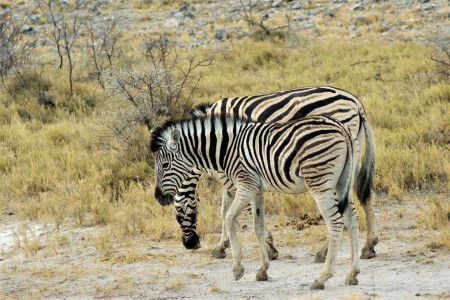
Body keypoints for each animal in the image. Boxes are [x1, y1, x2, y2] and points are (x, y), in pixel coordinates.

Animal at [152, 114, 362, 288]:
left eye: (165, 165)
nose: (158, 197)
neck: (226, 150)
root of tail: (341, 127)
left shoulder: (246, 185)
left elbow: (229, 218)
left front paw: (237, 268)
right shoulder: (257, 191)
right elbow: (258, 227)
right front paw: (263, 270)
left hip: (320, 183)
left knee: (335, 223)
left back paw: (322, 277)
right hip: (342, 182)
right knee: (352, 220)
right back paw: (352, 274)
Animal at [155, 85, 376, 262]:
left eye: (179, 213)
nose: (191, 245)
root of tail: (355, 101)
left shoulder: (234, 174)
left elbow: (236, 210)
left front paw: (269, 247)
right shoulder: (230, 174)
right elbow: (225, 209)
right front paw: (222, 246)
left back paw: (325, 252)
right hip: (351, 159)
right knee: (364, 195)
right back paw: (368, 246)